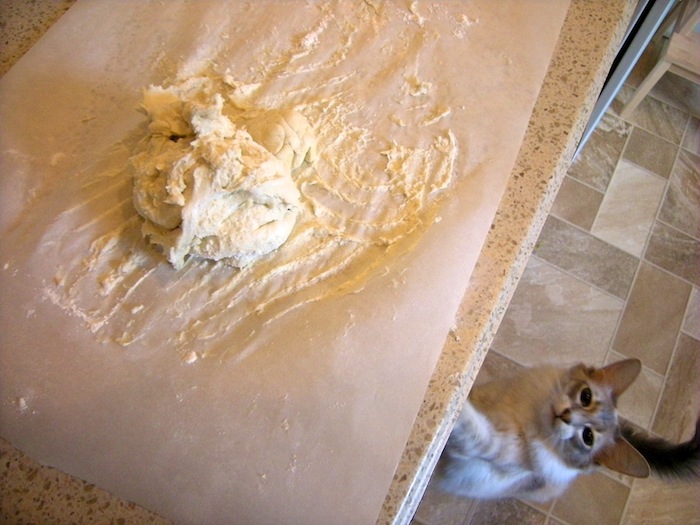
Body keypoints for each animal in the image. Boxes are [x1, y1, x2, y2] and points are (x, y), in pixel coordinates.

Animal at [438, 358, 700, 502]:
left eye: (588, 437)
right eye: (586, 397)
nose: (565, 416)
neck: (529, 416)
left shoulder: (495, 447)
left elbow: (470, 425)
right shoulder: (486, 395)